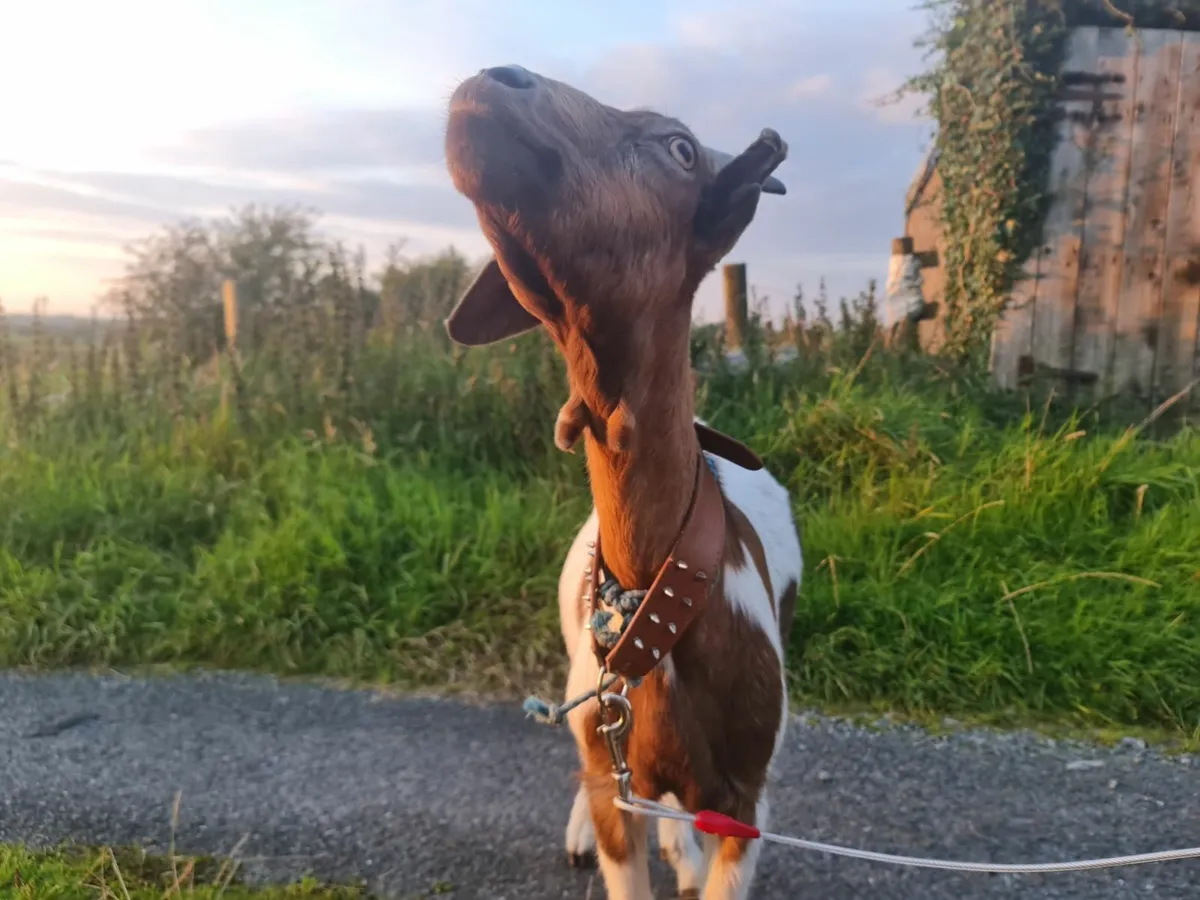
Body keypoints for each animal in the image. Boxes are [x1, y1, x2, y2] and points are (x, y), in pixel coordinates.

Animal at [442, 64, 802, 900]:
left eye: (680, 149)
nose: (489, 82)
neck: (658, 603)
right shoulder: (614, 768)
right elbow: (612, 815)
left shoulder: (747, 801)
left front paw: (690, 860)